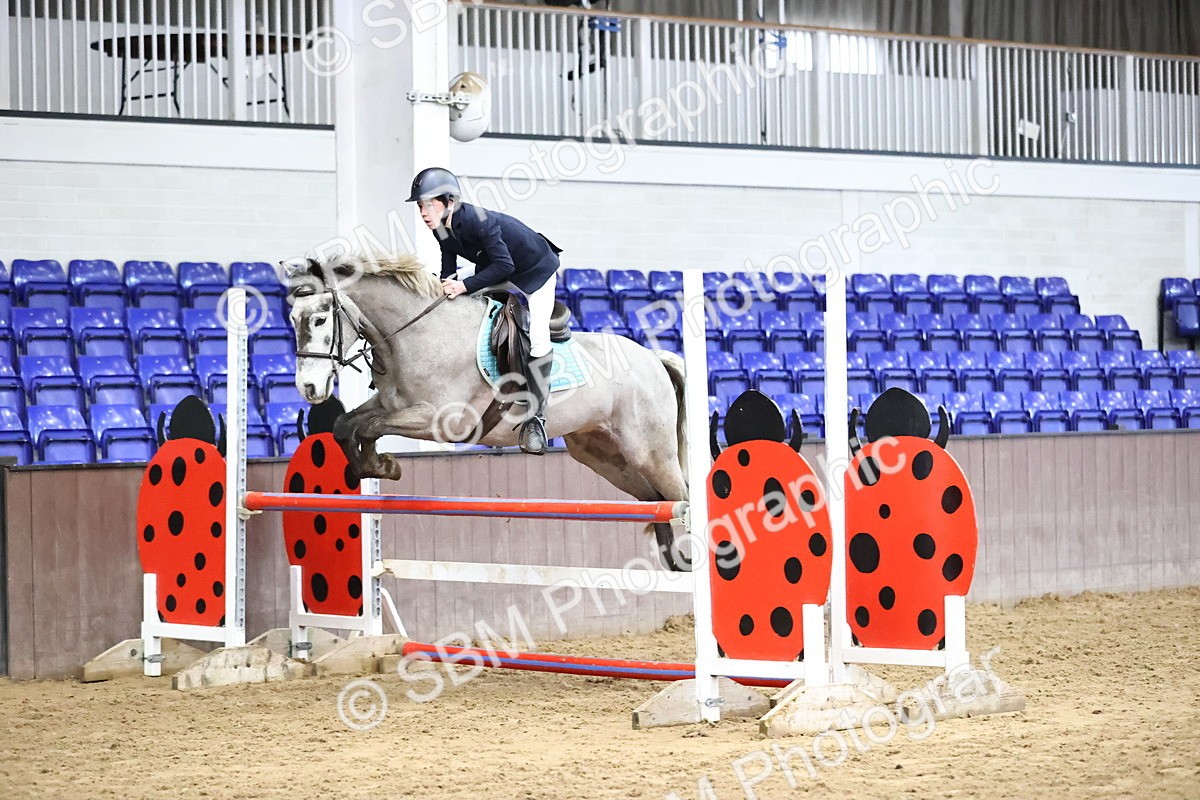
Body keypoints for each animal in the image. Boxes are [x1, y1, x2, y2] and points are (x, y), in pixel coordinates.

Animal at [282, 253, 692, 571]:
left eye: (319, 319)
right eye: (292, 319)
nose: (308, 389)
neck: (417, 336)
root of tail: (653, 358)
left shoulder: (440, 420)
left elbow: (369, 426)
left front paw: (383, 464)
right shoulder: (390, 404)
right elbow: (346, 424)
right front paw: (376, 466)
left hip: (649, 451)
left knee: (680, 494)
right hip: (601, 454)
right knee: (655, 499)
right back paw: (673, 556)